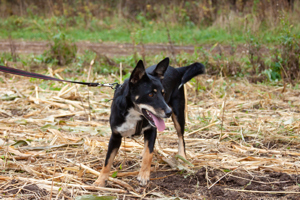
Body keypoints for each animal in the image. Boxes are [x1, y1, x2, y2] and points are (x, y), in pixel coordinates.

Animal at [95, 57, 205, 186]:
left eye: (163, 93)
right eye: (151, 94)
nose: (168, 112)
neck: (134, 112)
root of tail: (176, 69)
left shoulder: (152, 130)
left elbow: (149, 154)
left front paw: (143, 175)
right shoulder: (115, 136)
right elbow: (107, 161)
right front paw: (100, 180)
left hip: (178, 114)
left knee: (180, 137)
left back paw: (182, 156)